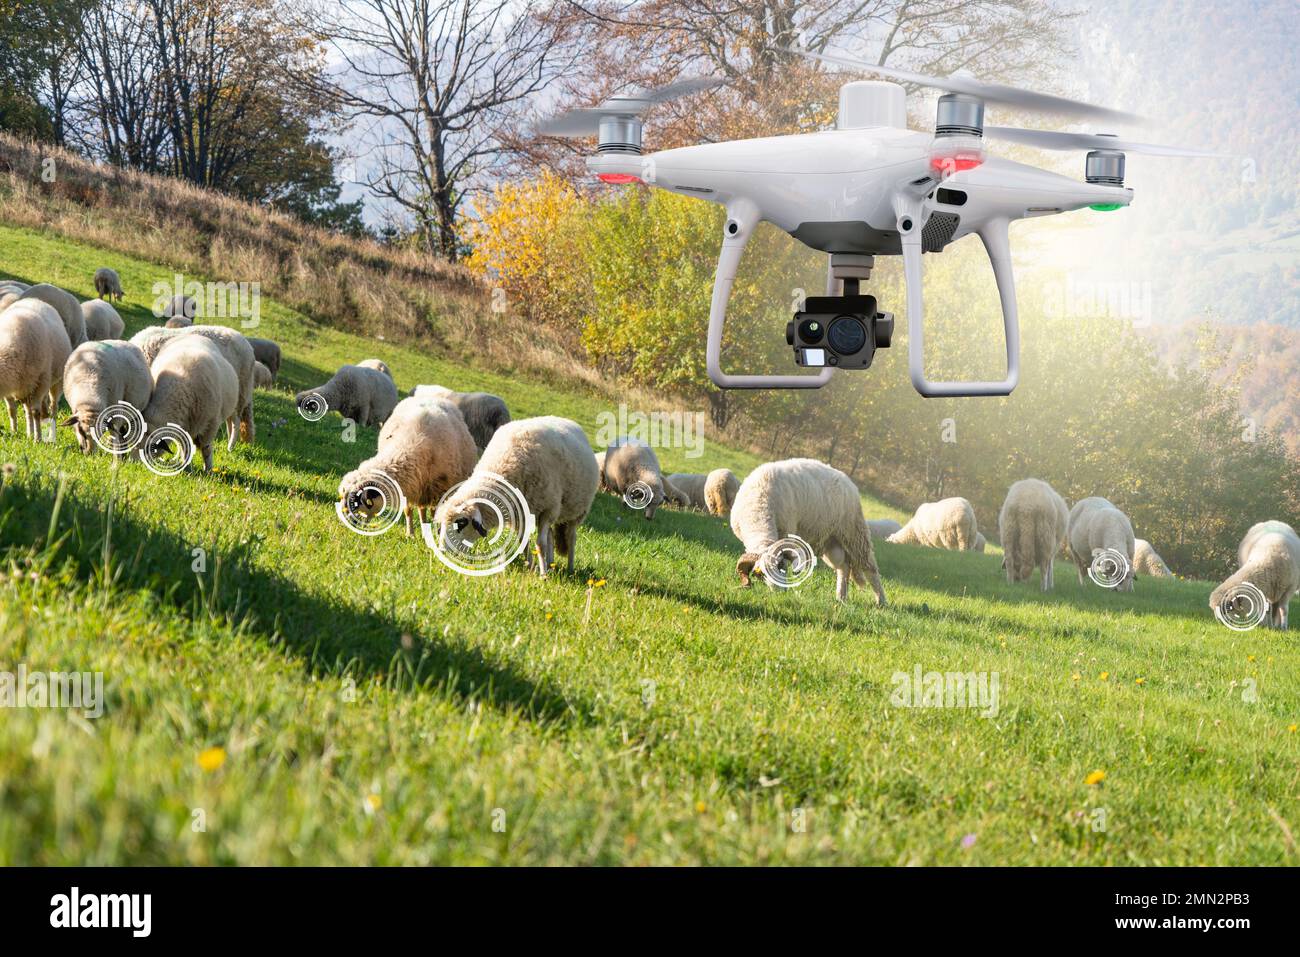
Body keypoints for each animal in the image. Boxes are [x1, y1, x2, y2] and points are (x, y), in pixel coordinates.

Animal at [0, 299, 72, 441]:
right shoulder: (10, 387)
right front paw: (14, 431)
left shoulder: (40, 382)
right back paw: (29, 433)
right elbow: (11, 410)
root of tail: (36, 300)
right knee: (28, 410)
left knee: (53, 408)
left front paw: (38, 439)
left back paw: (51, 435)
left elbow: (36, 413)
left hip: (55, 382)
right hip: (26, 386)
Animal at [141, 335, 238, 473]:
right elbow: (184, 447)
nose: (133, 463)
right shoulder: (182, 425)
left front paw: (208, 470)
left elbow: (206, 448)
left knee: (234, 420)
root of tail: (194, 335)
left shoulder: (211, 424)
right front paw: (187, 469)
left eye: (150, 445)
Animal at [339, 396, 478, 537]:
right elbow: (408, 510)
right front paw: (410, 534)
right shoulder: (409, 486)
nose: (350, 524)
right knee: (422, 509)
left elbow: (436, 512)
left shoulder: (439, 488)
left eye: (357, 501)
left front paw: (437, 534)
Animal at [436, 416, 599, 577]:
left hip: (577, 511)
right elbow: (523, 541)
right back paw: (550, 564)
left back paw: (569, 569)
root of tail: (569, 421)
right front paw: (531, 566)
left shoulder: (548, 508)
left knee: (571, 538)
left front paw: (542, 575)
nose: (442, 551)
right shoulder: (520, 515)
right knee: (551, 535)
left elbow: (540, 544)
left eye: (460, 523)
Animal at [730, 458, 886, 605]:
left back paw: (881, 601)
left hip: (854, 532)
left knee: (870, 568)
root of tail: (848, 481)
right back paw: (841, 598)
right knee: (844, 567)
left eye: (781, 566)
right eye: (761, 574)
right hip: (831, 542)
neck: (758, 511)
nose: (779, 592)